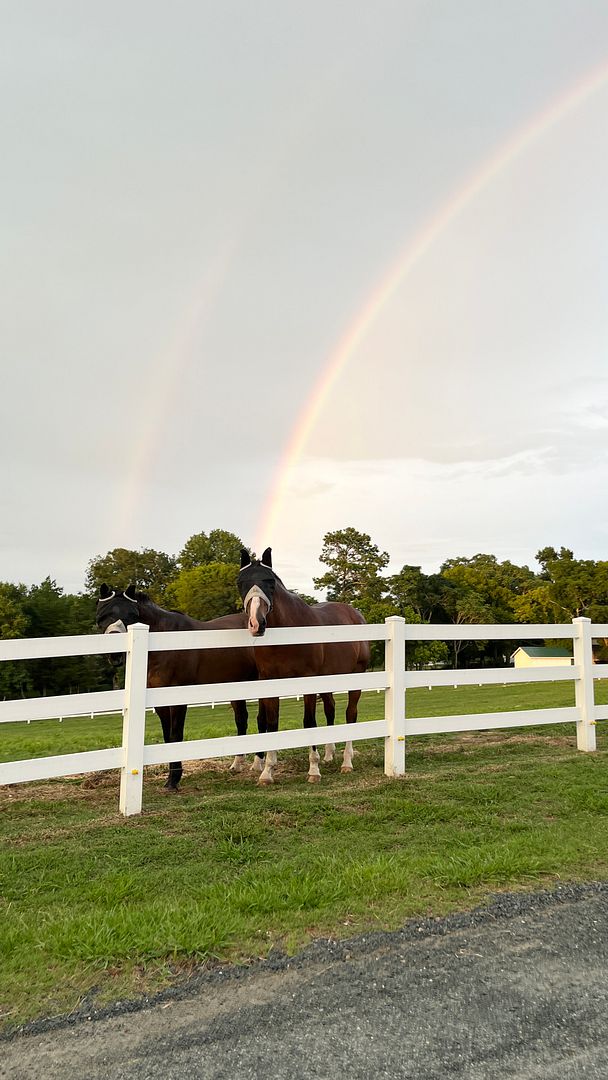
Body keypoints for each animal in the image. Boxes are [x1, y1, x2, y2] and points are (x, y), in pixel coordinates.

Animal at [95, 587, 336, 790]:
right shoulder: (159, 701)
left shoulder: (178, 698)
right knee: (243, 720)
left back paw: (261, 764)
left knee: (261, 720)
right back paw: (241, 764)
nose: (114, 654)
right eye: (102, 615)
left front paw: (174, 780)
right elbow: (167, 736)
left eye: (131, 615)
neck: (164, 642)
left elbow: (175, 735)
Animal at [236, 548, 371, 786]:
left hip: (356, 676)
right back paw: (329, 754)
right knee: (331, 709)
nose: (256, 623)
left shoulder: (308, 682)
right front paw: (267, 772)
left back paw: (346, 762)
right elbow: (271, 723)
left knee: (350, 714)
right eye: (241, 583)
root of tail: (356, 614)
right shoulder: (269, 683)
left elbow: (309, 722)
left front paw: (314, 770)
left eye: (270, 582)